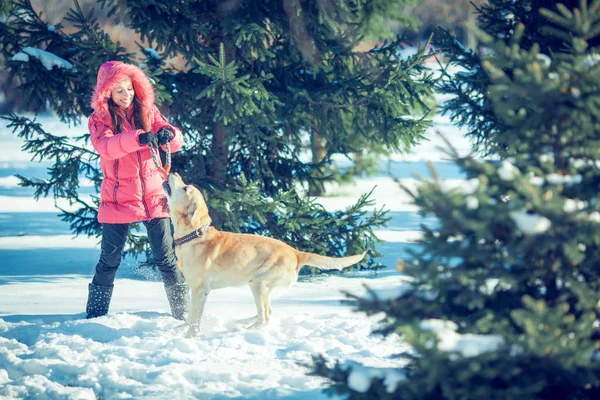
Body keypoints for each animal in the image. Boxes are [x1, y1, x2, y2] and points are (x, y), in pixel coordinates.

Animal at [162, 173, 364, 338]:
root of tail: (296, 252)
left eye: (185, 188)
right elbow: (190, 316)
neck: (194, 234)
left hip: (258, 283)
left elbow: (195, 319)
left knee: (265, 319)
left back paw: (240, 330)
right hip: (262, 287)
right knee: (268, 313)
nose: (174, 172)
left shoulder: (200, 290)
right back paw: (241, 322)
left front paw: (189, 336)